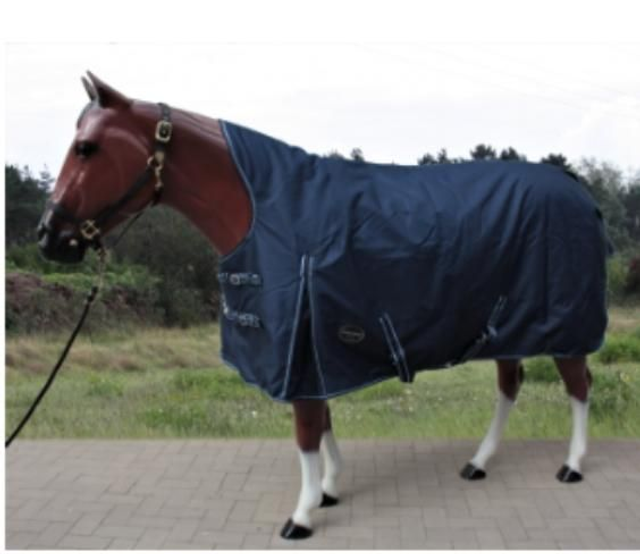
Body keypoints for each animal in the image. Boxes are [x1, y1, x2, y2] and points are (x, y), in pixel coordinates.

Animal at [37, 72, 607, 540]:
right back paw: (479, 462)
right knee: (510, 385)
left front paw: (302, 515)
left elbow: (307, 432)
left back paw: (572, 466)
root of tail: (578, 189)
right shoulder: (315, 351)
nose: (49, 236)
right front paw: (330, 490)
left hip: (565, 325)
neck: (261, 209)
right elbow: (325, 420)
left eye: (86, 148)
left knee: (578, 386)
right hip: (503, 323)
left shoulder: (304, 342)